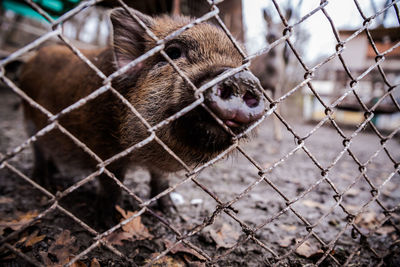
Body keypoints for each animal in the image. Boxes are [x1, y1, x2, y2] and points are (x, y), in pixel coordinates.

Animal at [20, 7, 268, 226]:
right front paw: (108, 223)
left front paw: (172, 213)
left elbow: (160, 180)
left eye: (242, 64)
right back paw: (45, 182)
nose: (242, 79)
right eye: (173, 53)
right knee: (37, 148)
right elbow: (112, 184)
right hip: (30, 118)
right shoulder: (104, 149)